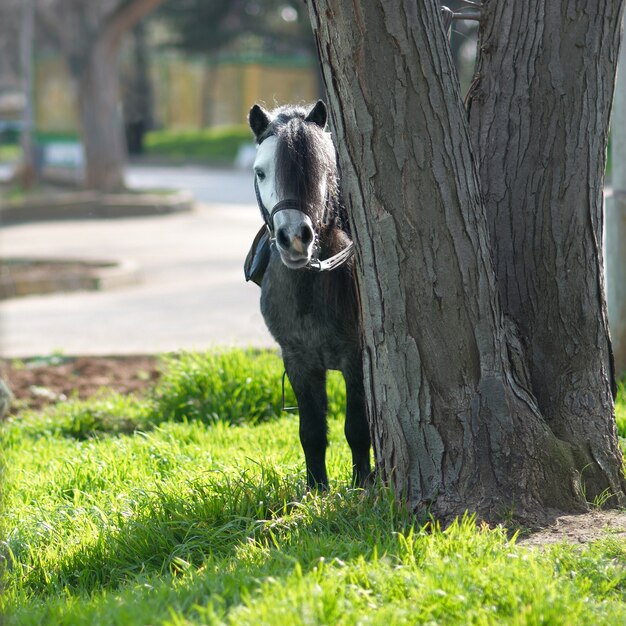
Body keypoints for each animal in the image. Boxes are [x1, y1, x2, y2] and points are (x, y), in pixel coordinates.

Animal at [245, 98, 370, 488]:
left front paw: (363, 485)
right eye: (260, 172)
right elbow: (311, 433)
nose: (294, 238)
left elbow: (357, 428)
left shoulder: (355, 359)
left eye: (323, 170)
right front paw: (317, 489)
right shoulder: (297, 360)